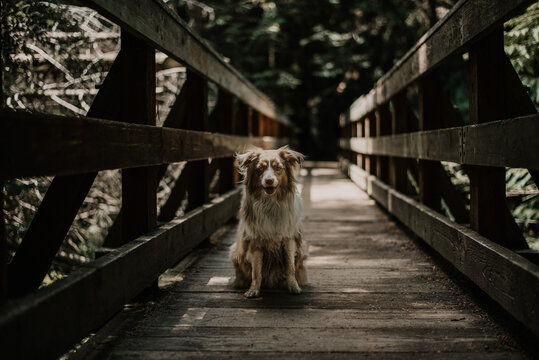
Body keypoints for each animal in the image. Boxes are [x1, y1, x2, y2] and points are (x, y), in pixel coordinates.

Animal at [230, 145, 308, 296]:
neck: (271, 203)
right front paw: (253, 290)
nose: (269, 181)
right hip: (236, 253)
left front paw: (293, 286)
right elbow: (256, 271)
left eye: (278, 168)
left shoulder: (289, 238)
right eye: (260, 168)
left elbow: (290, 266)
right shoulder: (255, 241)